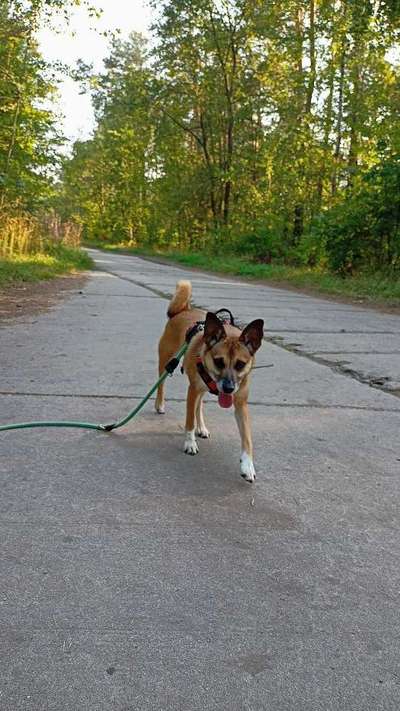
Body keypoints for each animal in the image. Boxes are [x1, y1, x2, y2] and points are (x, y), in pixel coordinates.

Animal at [155, 280, 264, 482]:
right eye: (219, 361)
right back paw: (160, 405)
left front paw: (247, 465)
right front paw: (190, 443)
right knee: (162, 384)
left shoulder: (241, 403)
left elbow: (247, 438)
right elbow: (189, 421)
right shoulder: (192, 391)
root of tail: (183, 310)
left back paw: (202, 427)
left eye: (240, 364)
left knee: (200, 406)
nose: (228, 388)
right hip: (166, 361)